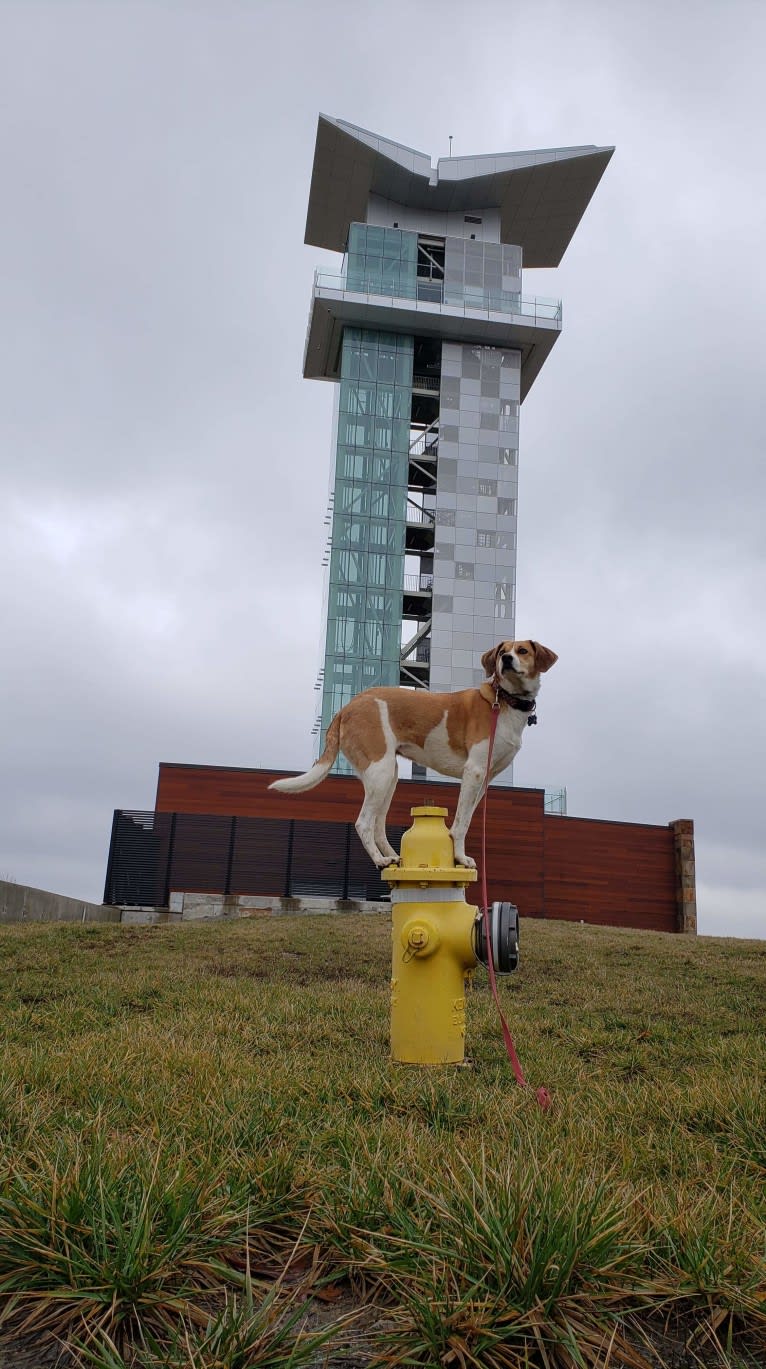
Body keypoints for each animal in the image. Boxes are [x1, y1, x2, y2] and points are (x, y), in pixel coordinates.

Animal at [269, 637, 555, 865]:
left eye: (522, 650)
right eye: (502, 651)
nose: (506, 658)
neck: (504, 701)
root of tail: (348, 707)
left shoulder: (484, 780)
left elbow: (466, 818)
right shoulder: (473, 772)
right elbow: (461, 823)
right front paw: (460, 857)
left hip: (388, 778)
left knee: (378, 825)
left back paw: (393, 856)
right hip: (381, 772)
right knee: (364, 822)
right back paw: (380, 860)